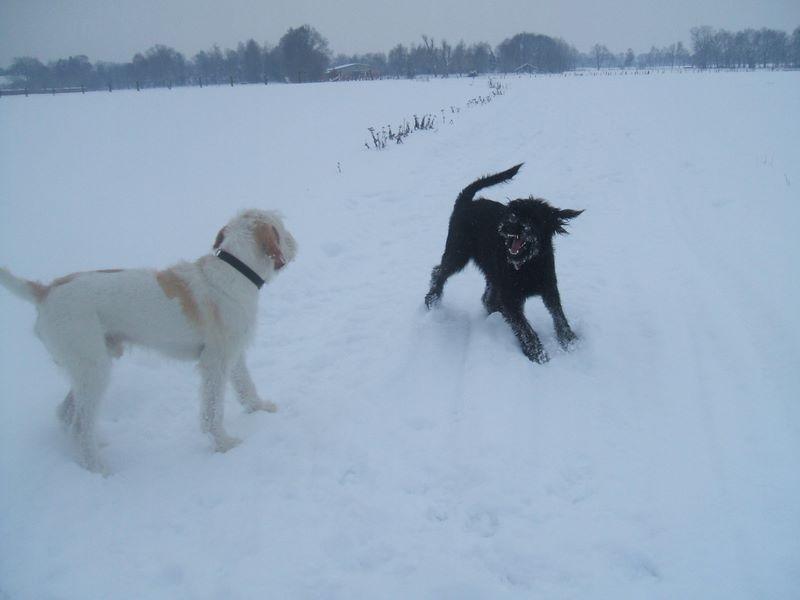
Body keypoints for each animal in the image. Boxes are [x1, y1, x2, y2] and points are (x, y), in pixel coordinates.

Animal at [0, 209, 297, 473]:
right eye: (281, 228)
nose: (296, 244)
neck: (234, 271)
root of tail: (46, 291)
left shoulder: (233, 356)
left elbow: (246, 386)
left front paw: (259, 408)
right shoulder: (215, 363)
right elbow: (212, 412)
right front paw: (223, 444)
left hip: (88, 368)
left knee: (66, 413)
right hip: (94, 369)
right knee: (78, 426)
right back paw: (97, 468)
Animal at [424, 164, 583, 363]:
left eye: (532, 218)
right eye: (513, 214)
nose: (505, 227)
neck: (529, 265)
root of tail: (466, 201)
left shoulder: (549, 289)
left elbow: (558, 315)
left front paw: (570, 341)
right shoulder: (511, 298)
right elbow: (524, 328)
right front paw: (537, 353)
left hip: (489, 269)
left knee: (487, 297)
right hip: (458, 253)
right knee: (439, 272)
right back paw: (432, 300)